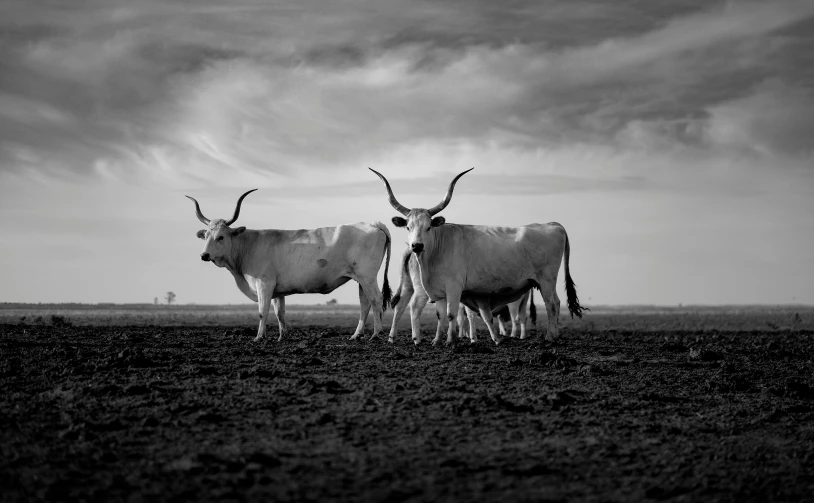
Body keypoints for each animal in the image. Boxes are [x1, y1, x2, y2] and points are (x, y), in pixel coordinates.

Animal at [191, 190, 396, 342]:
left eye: (221, 237)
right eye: (206, 235)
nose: (204, 255)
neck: (249, 246)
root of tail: (373, 224)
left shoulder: (264, 284)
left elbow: (262, 311)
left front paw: (258, 337)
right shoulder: (276, 289)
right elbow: (279, 312)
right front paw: (282, 336)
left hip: (367, 277)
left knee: (376, 300)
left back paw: (376, 334)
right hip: (360, 278)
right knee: (364, 303)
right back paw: (356, 335)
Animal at [370, 169, 588, 346]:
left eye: (429, 226)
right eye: (408, 227)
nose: (416, 245)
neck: (435, 254)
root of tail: (551, 224)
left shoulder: (454, 286)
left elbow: (451, 314)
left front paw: (450, 341)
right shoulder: (439, 290)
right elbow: (440, 315)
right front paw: (436, 341)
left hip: (547, 279)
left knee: (553, 304)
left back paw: (551, 337)